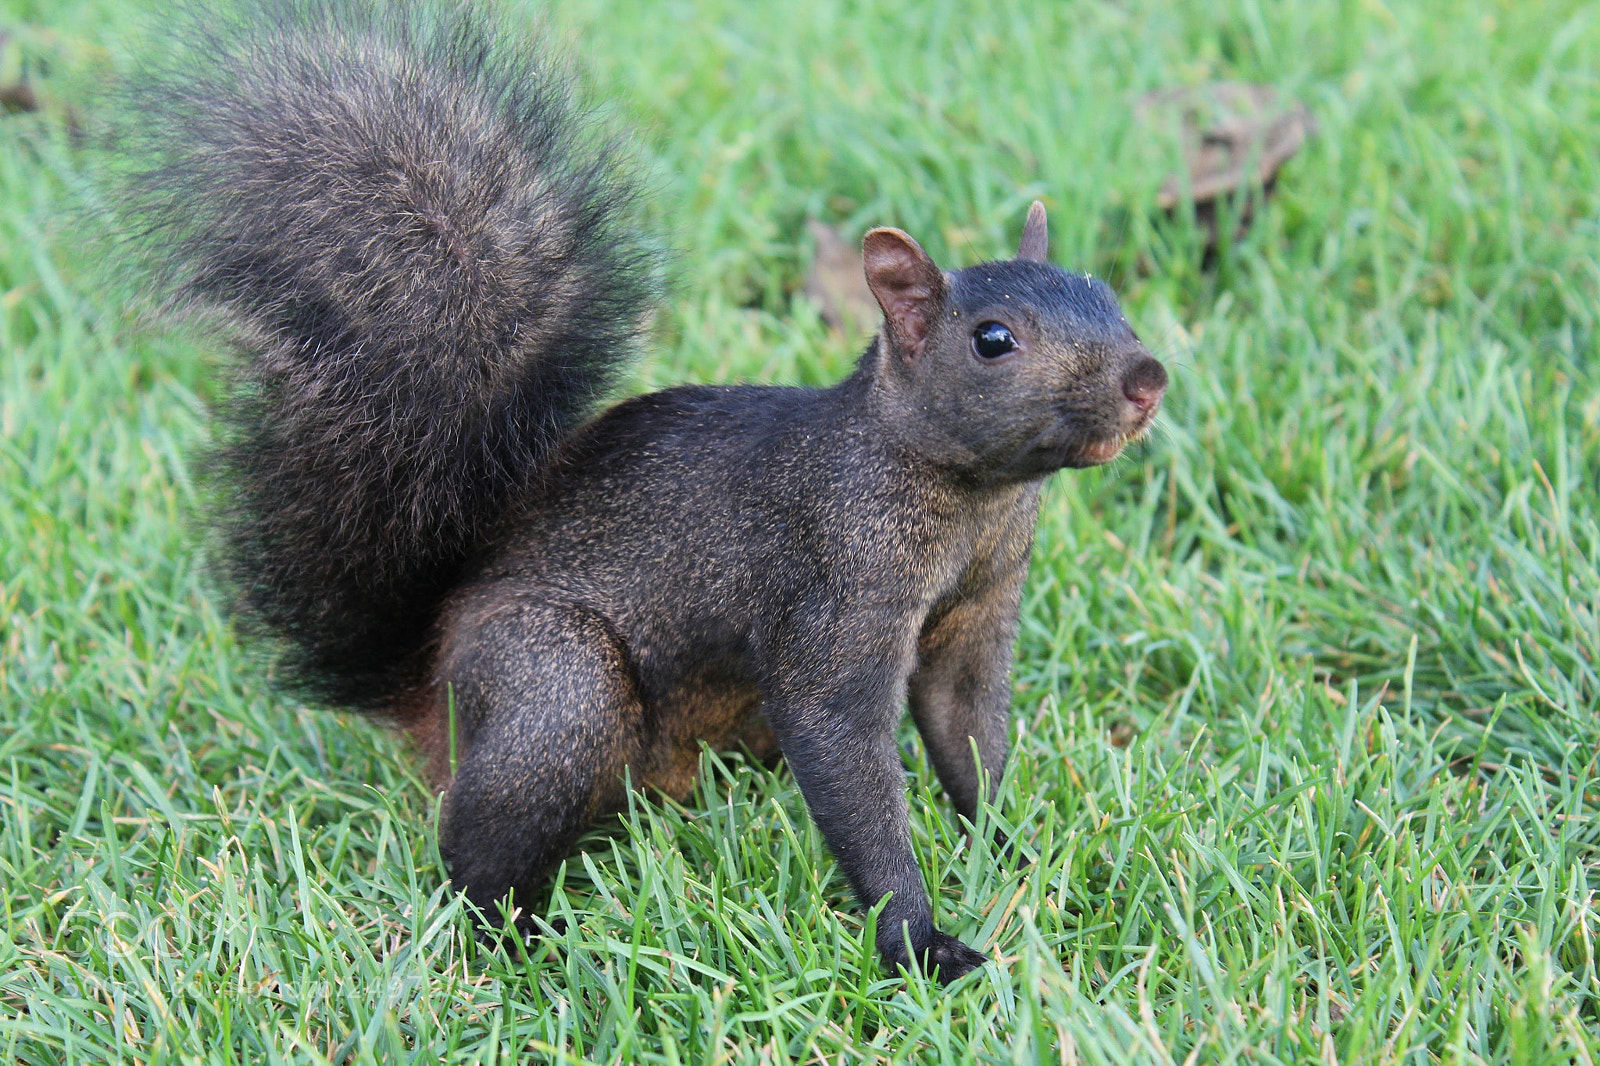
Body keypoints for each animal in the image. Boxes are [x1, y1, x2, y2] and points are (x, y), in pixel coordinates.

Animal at [115, 0, 1167, 983]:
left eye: (1108, 293)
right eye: (993, 340)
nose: (1148, 379)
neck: (970, 501)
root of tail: (429, 675)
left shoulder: (977, 618)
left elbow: (969, 739)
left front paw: (1017, 853)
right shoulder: (836, 590)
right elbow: (843, 748)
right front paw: (919, 941)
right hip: (556, 685)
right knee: (480, 843)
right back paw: (518, 941)